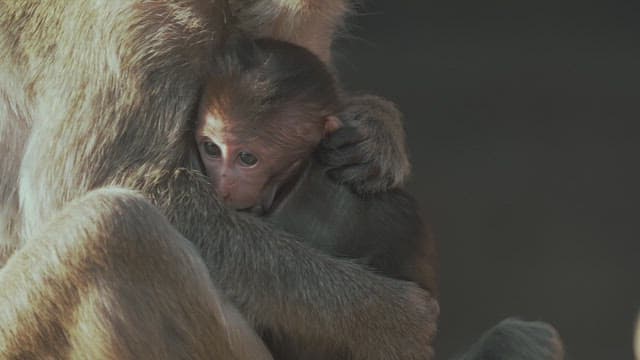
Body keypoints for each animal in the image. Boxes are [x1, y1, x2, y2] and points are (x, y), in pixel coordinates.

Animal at [0, 0, 436, 360]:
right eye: (216, 150)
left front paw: (377, 132)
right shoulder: (140, 17)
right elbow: (102, 186)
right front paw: (380, 317)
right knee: (114, 226)